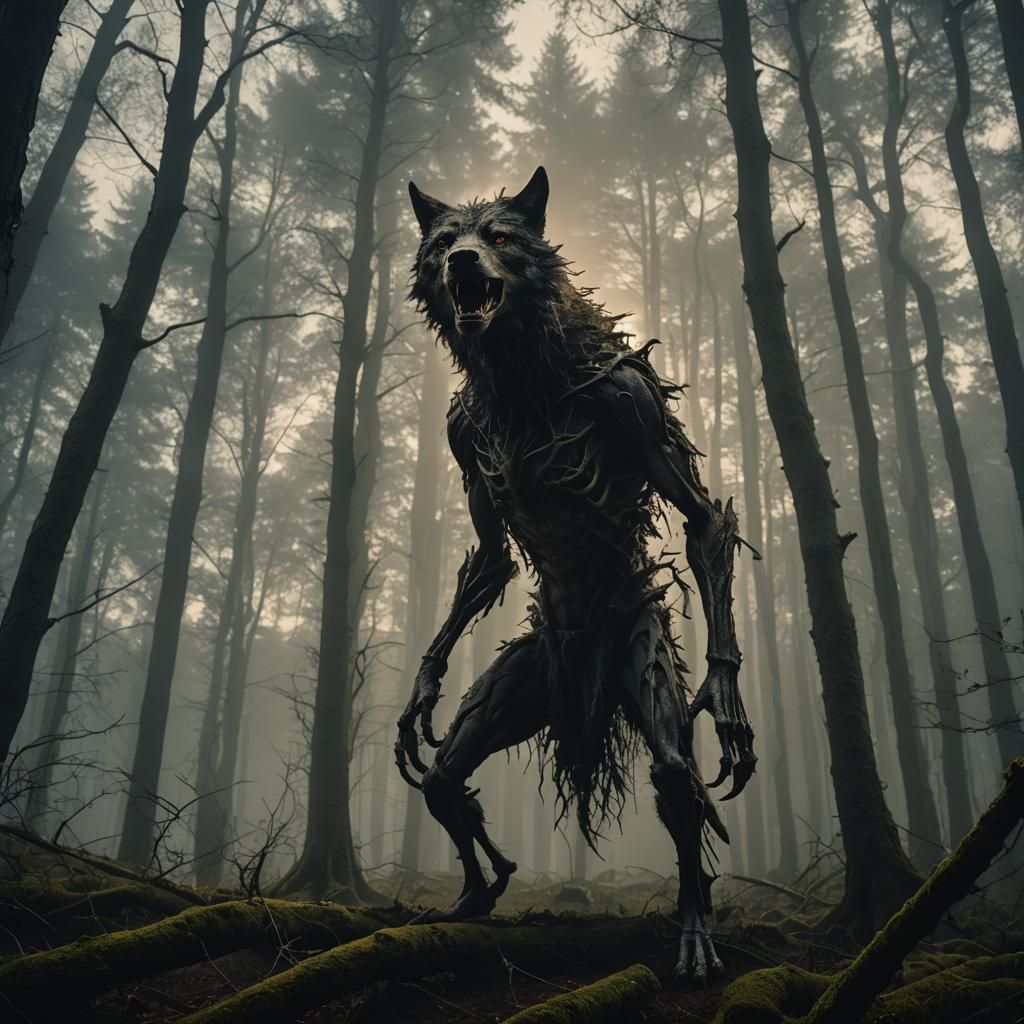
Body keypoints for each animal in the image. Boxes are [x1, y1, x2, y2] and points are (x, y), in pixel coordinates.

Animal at [396, 166, 755, 980]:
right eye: (444, 241)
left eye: (500, 236)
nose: (462, 261)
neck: (520, 381)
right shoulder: (461, 434)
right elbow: (491, 559)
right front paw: (421, 693)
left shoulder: (631, 398)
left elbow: (704, 522)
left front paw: (726, 700)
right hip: (530, 672)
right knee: (444, 777)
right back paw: (481, 888)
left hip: (640, 650)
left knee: (676, 777)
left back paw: (695, 929)